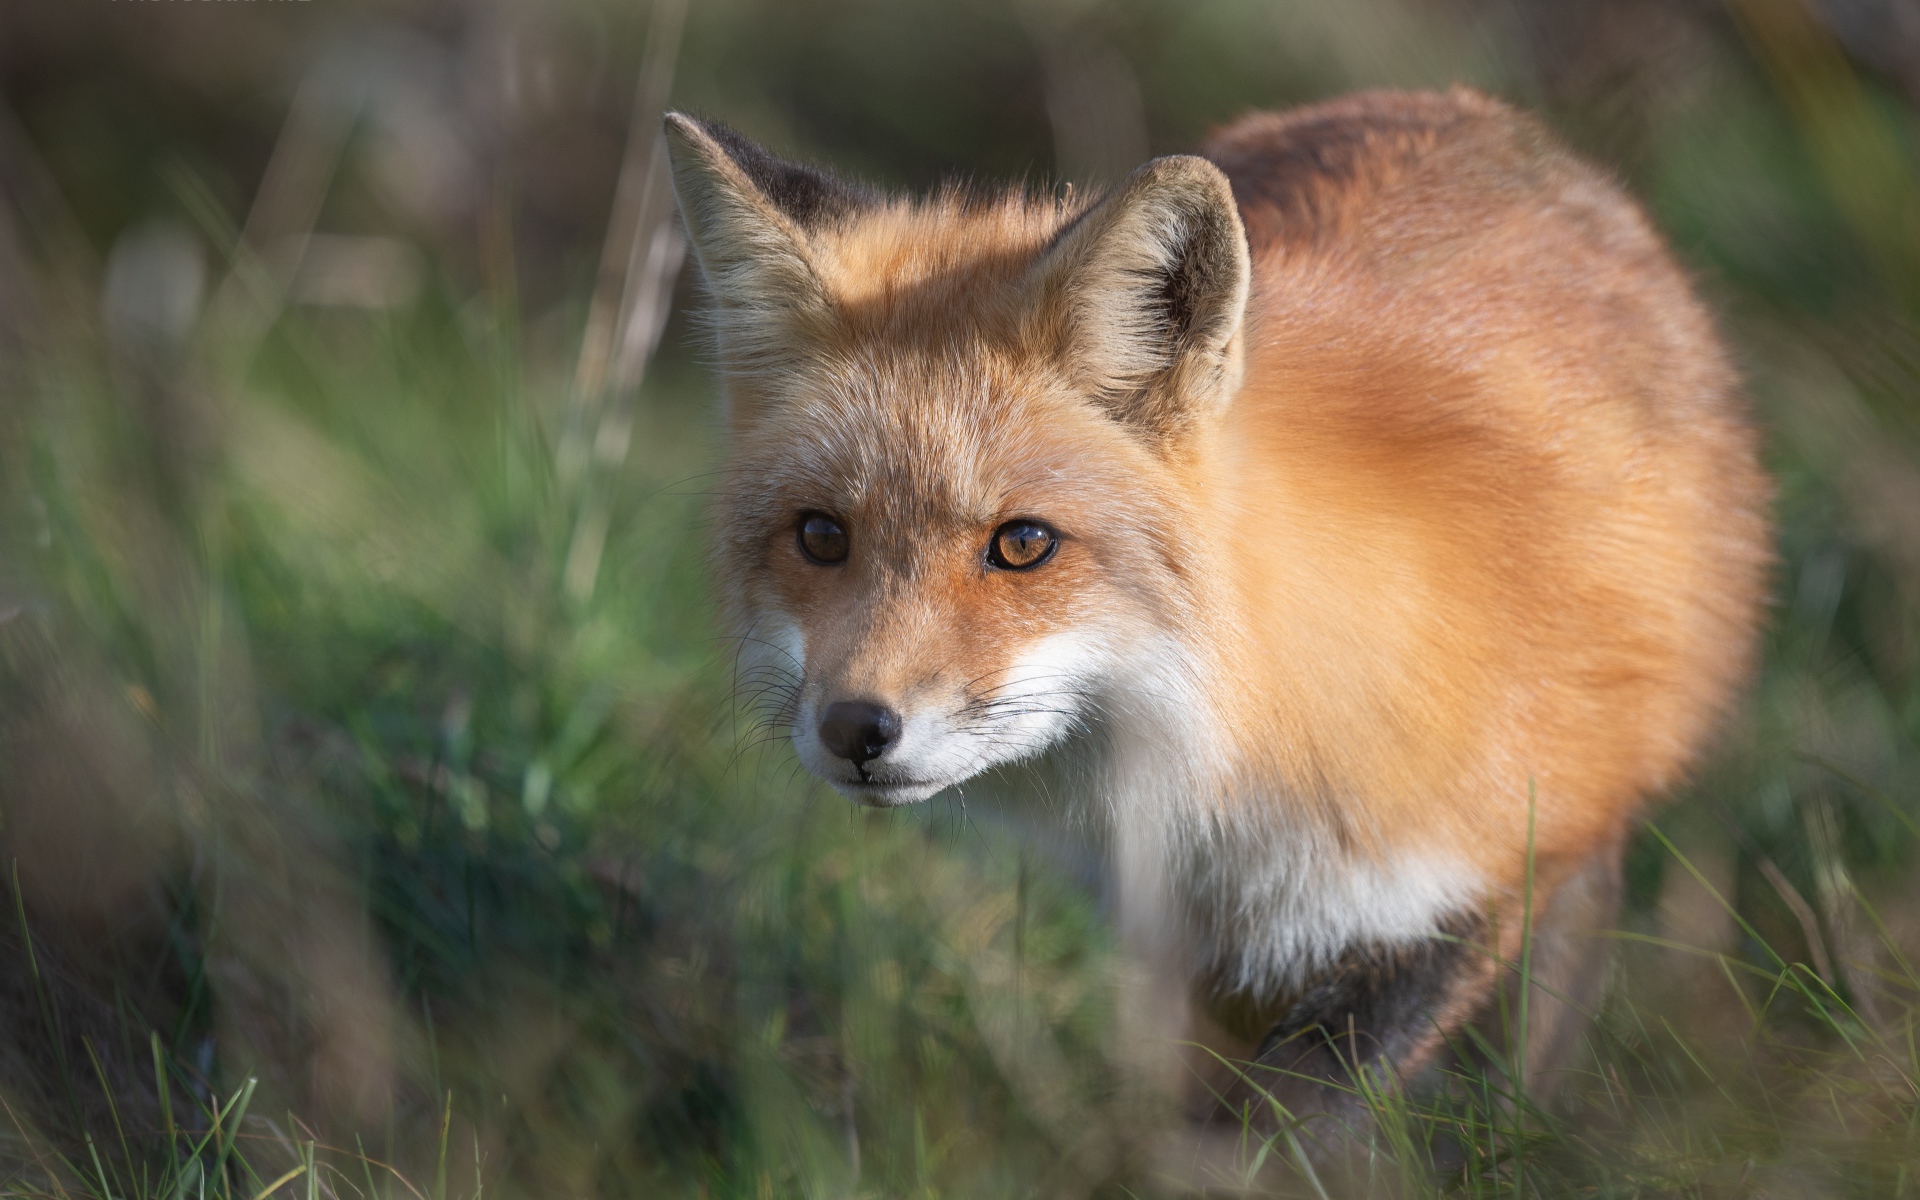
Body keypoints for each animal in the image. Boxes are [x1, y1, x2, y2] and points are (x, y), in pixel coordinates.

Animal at [672, 91, 1766, 1144]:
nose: (855, 729)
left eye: (1022, 545)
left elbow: (1292, 1137)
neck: (1232, 762)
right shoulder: (1191, 943)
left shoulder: (1460, 892)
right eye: (821, 536)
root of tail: (1478, 112)